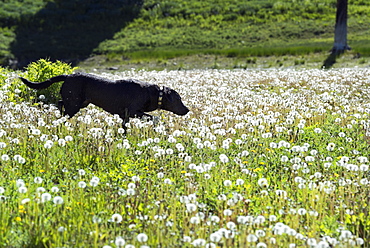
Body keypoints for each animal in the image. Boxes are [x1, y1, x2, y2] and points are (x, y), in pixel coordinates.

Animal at [19, 72, 188, 128]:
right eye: (178, 99)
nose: (187, 110)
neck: (153, 94)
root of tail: (67, 76)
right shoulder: (134, 111)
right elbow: (153, 117)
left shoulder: (125, 116)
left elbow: (124, 128)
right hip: (74, 105)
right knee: (62, 109)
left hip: (78, 103)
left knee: (60, 104)